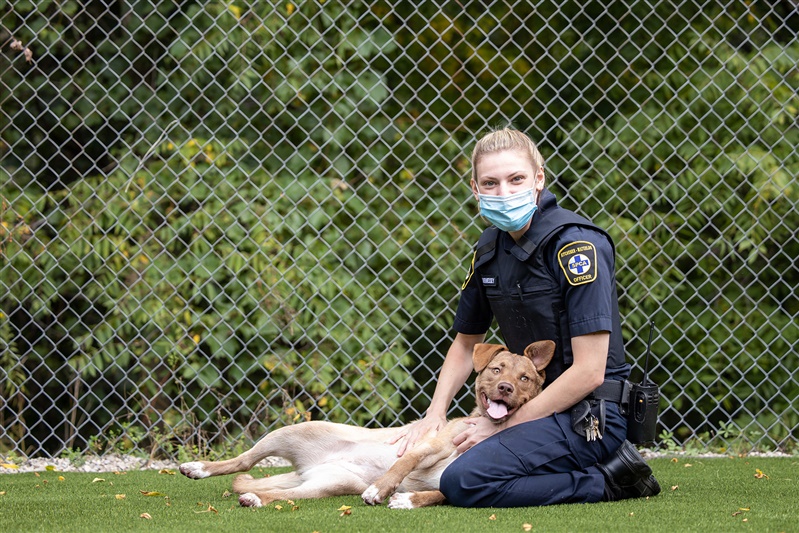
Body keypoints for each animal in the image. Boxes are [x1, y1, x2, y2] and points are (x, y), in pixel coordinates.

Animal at [180, 338, 556, 510]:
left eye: (524, 378)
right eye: (496, 369)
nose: (505, 388)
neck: (486, 430)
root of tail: (305, 469)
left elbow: (442, 492)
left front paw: (407, 500)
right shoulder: (428, 445)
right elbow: (404, 462)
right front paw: (382, 488)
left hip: (325, 485)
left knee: (273, 492)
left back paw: (255, 499)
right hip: (290, 431)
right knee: (243, 461)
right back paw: (198, 468)